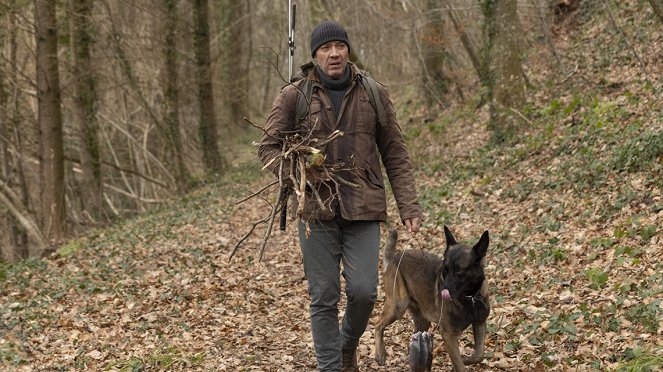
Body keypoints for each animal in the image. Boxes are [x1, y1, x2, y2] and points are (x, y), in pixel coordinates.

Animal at [376, 225, 490, 370]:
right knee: (378, 324)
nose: (441, 292)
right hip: (397, 307)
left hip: (423, 321)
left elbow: (479, 354)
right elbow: (460, 365)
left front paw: (466, 359)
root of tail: (395, 257)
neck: (470, 297)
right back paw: (380, 354)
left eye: (459, 270)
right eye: (445, 269)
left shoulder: (480, 323)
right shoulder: (448, 336)